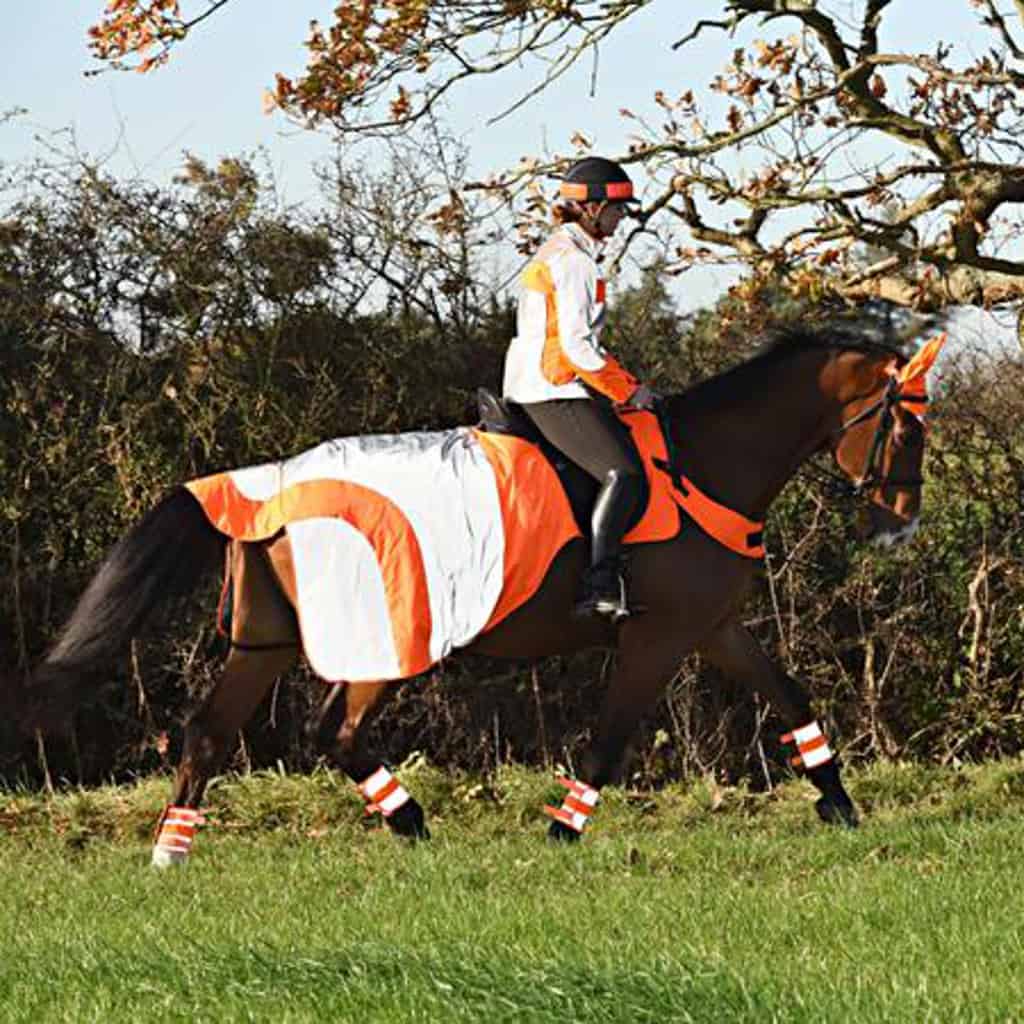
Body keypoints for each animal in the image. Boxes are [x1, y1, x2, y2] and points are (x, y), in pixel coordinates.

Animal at [18, 326, 941, 864]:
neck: (701, 464)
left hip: (266, 641)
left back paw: (180, 852)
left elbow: (791, 700)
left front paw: (839, 805)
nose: (901, 521)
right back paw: (405, 823)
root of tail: (268, 485)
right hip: (384, 642)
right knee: (330, 730)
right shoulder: (657, 639)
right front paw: (564, 830)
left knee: (215, 732)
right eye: (904, 423)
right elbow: (609, 739)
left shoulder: (713, 626)